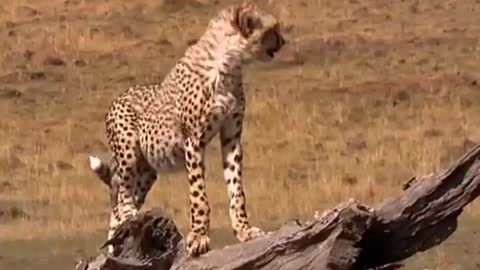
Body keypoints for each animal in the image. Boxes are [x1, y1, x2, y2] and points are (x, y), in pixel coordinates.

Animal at [87, 1, 284, 256]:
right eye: (272, 29)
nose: (283, 41)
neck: (228, 65)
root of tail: (119, 96)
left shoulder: (231, 137)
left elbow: (236, 188)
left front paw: (244, 230)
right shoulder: (194, 140)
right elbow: (199, 195)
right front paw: (199, 237)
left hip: (147, 170)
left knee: (121, 204)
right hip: (128, 153)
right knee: (122, 198)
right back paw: (127, 217)